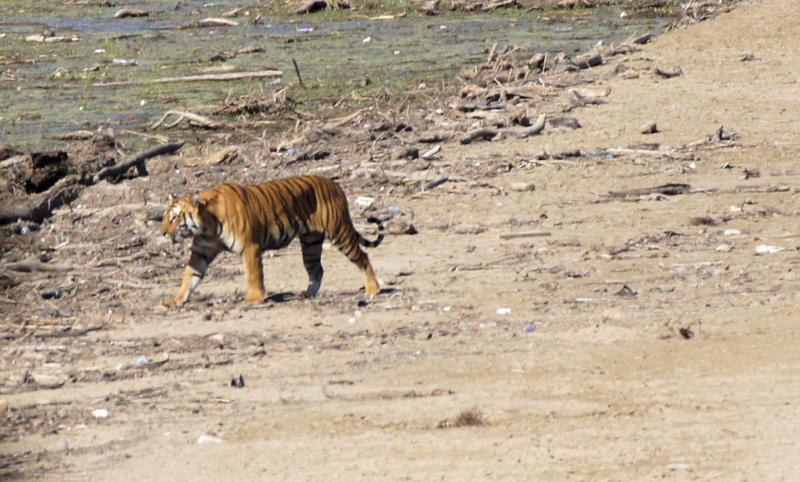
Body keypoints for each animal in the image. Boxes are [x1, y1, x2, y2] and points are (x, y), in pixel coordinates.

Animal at [160, 175, 385, 307]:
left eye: (174, 218)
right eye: (164, 217)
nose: (162, 233)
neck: (208, 227)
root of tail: (336, 184)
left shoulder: (250, 247)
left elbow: (253, 275)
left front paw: (254, 298)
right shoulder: (201, 252)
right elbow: (189, 276)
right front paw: (176, 300)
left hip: (339, 232)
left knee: (363, 257)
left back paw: (373, 289)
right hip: (310, 243)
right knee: (317, 270)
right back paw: (307, 295)